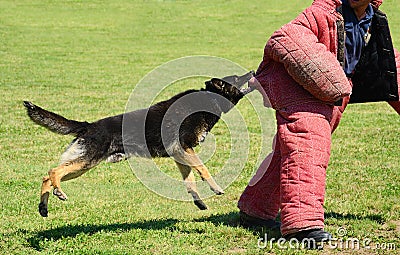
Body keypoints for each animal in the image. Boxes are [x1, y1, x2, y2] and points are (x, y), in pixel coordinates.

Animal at [24, 70, 253, 216]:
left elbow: (190, 180)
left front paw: (198, 201)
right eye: (236, 78)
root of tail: (88, 126)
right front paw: (216, 188)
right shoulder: (183, 148)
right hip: (86, 161)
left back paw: (44, 207)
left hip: (82, 167)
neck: (209, 100)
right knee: (54, 171)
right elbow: (203, 168)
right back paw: (58, 192)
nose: (251, 71)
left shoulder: (179, 154)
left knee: (46, 176)